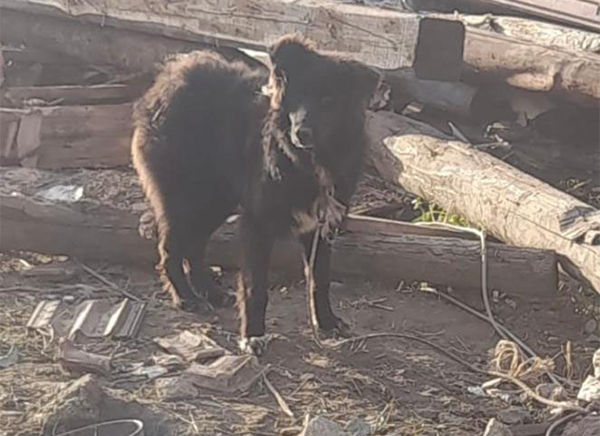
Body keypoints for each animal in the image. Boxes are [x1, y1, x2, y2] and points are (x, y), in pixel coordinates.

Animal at [133, 35, 380, 354]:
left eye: (328, 100)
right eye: (299, 96)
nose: (301, 133)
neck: (309, 164)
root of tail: (168, 78)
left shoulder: (320, 228)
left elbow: (319, 280)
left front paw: (326, 322)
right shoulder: (257, 224)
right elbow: (255, 287)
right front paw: (252, 335)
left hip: (215, 201)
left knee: (195, 246)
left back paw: (210, 291)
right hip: (183, 200)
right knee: (170, 250)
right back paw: (186, 297)